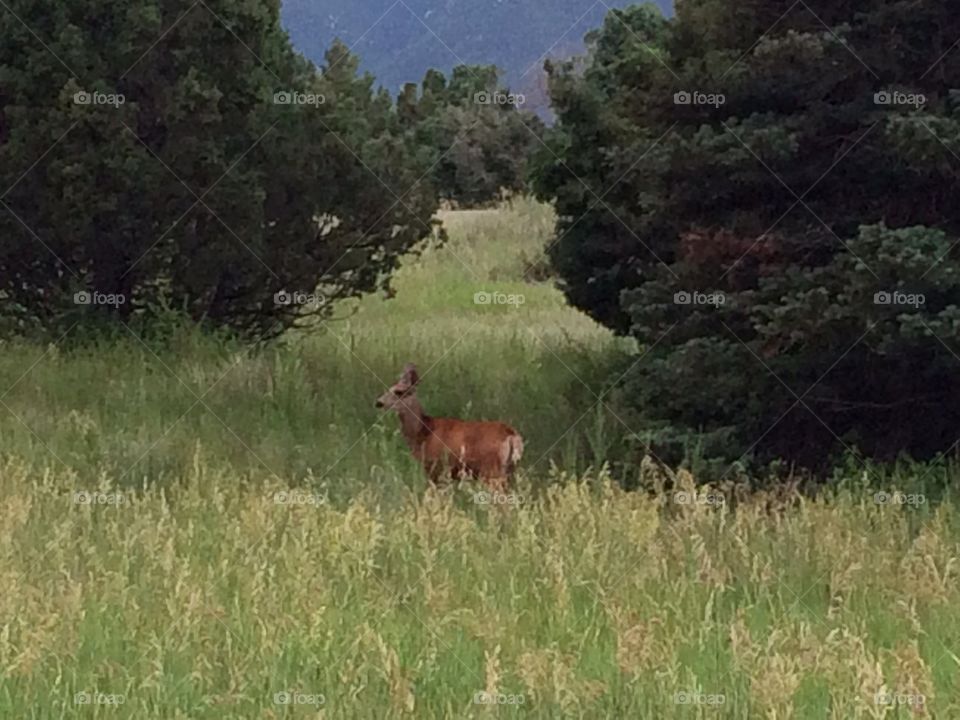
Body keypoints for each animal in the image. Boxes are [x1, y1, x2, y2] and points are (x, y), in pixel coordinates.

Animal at [375, 363, 524, 491]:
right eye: (389, 388)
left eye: (399, 392)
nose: (379, 403)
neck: (423, 432)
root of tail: (512, 435)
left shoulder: (435, 467)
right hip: (509, 470)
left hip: (492, 471)